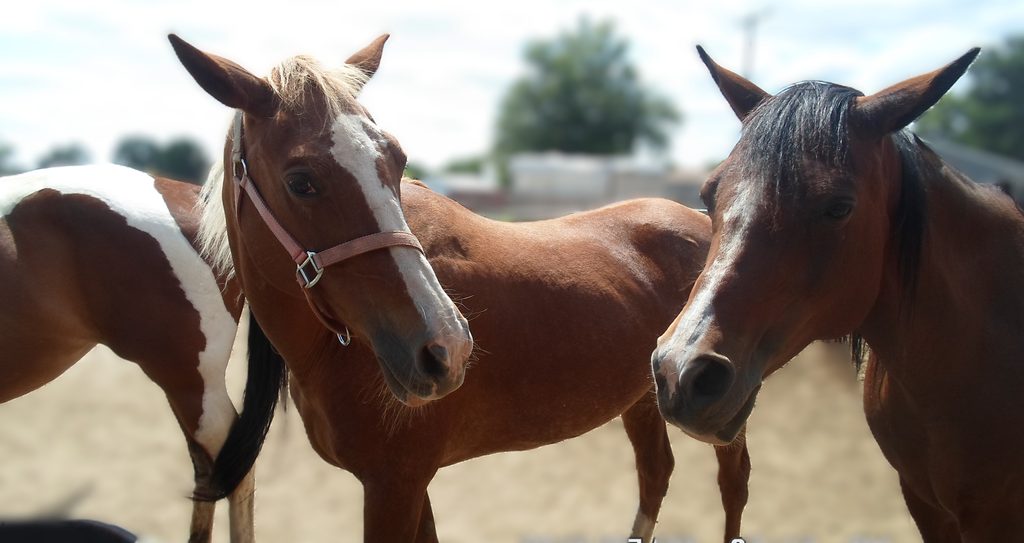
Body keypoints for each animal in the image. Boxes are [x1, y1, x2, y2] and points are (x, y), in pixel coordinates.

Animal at [168, 34, 752, 542]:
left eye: (397, 160)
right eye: (300, 180)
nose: (445, 347)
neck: (331, 349)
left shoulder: (395, 485)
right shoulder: (409, 483)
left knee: (733, 484)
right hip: (643, 397)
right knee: (656, 475)